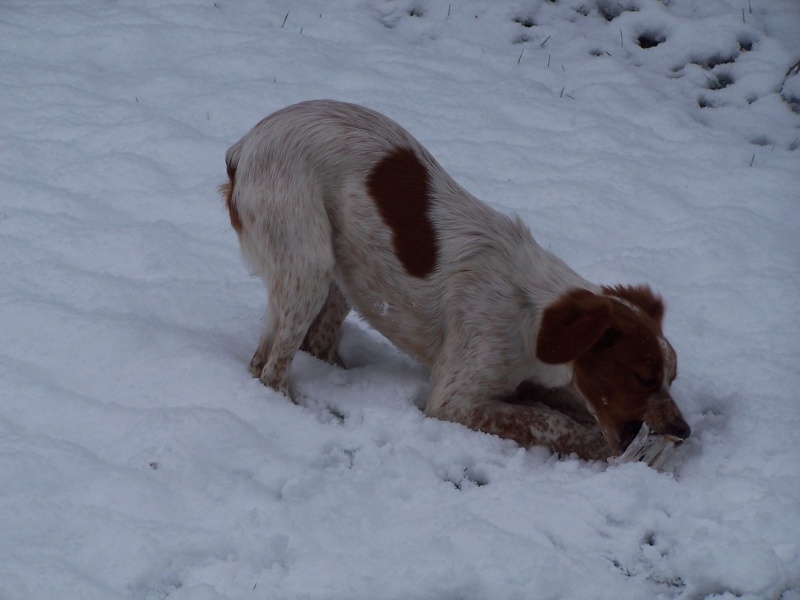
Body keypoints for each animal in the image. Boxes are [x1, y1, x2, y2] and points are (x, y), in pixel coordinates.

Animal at [222, 101, 692, 462]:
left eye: (672, 379)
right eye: (644, 377)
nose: (684, 430)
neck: (530, 317)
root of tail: (243, 147)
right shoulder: (454, 399)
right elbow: (549, 421)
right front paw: (605, 450)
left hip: (341, 272)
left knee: (311, 345)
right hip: (310, 265)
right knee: (269, 369)